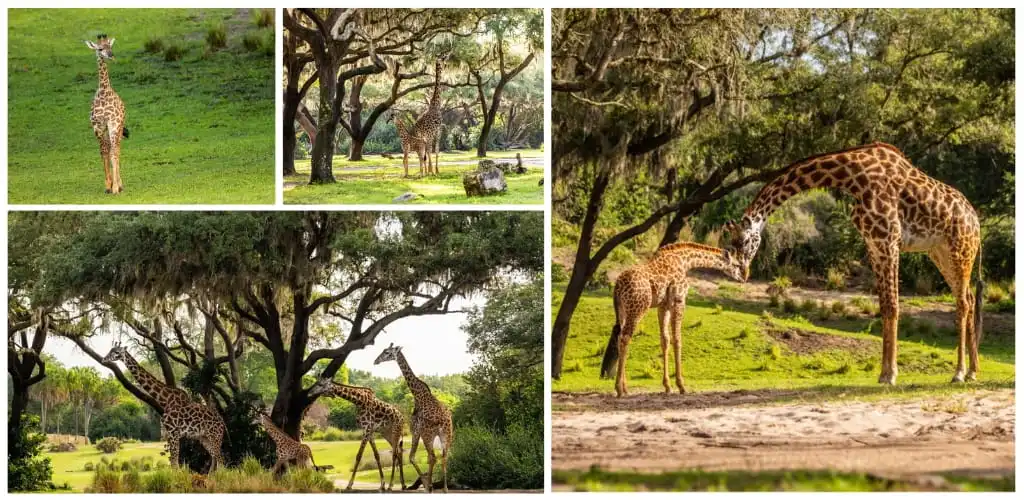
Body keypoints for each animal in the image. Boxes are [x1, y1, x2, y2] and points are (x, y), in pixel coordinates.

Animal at [84, 34, 129, 194]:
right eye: (100, 49)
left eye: (110, 47)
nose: (111, 55)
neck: (104, 92)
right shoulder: (97, 126)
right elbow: (103, 152)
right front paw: (108, 185)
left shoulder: (113, 124)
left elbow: (113, 153)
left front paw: (115, 187)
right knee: (109, 148)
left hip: (119, 127)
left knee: (117, 149)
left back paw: (120, 184)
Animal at [374, 344, 453, 493]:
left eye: (387, 352)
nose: (376, 361)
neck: (418, 395)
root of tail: (443, 421)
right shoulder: (420, 433)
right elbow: (414, 457)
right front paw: (427, 483)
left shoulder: (415, 431)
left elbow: (411, 457)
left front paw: (426, 484)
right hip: (446, 435)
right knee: (444, 456)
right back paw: (445, 488)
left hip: (428, 435)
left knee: (433, 457)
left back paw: (430, 487)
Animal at [599, 243, 746, 397]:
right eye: (737, 264)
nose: (743, 278)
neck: (685, 262)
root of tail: (617, 286)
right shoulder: (679, 301)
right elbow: (677, 339)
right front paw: (681, 386)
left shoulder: (663, 306)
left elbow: (665, 340)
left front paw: (667, 386)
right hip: (637, 309)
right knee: (625, 338)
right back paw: (619, 389)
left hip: (622, 310)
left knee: (620, 337)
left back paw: (625, 388)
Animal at [723, 142, 982, 386]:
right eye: (731, 242)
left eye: (743, 241)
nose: (742, 273)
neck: (852, 177)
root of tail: (976, 221)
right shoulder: (874, 243)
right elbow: (884, 306)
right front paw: (883, 373)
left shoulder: (889, 240)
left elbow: (893, 305)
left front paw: (890, 375)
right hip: (940, 252)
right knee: (969, 298)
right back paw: (973, 371)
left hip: (960, 249)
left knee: (962, 302)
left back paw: (959, 373)